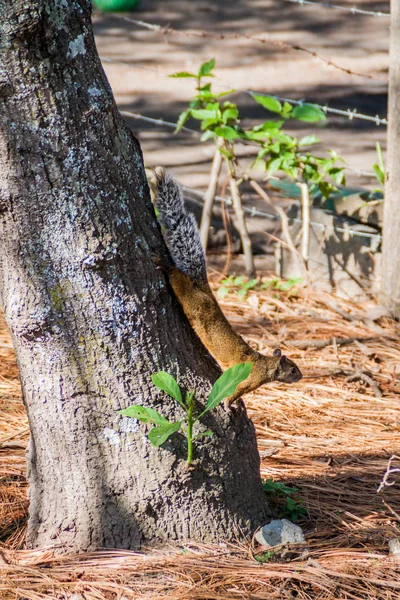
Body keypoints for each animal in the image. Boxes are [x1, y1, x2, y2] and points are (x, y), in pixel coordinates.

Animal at [152, 169, 302, 408]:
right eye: (293, 369)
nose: (302, 376)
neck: (266, 365)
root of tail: (205, 290)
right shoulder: (250, 380)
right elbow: (237, 391)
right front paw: (228, 403)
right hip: (192, 299)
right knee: (178, 280)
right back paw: (165, 265)